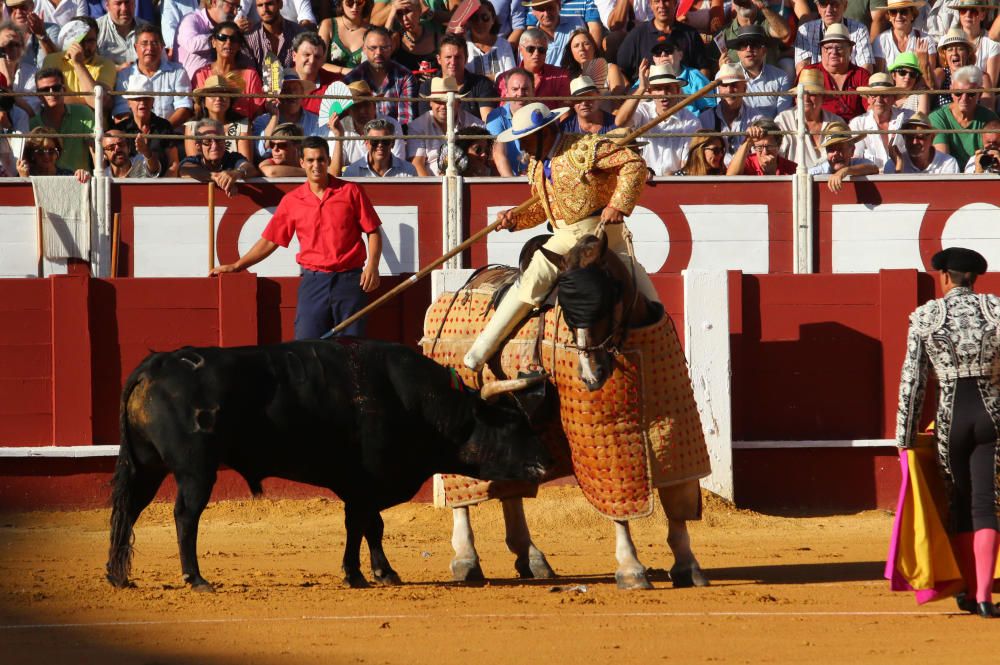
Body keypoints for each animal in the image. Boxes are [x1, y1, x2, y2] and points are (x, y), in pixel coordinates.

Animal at [105, 338, 552, 588]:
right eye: (514, 424)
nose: (545, 464)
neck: (420, 404)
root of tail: (156, 363)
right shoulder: (365, 484)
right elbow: (365, 525)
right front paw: (362, 575)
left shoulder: (359, 488)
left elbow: (368, 526)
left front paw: (376, 573)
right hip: (196, 470)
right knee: (185, 515)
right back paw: (195, 578)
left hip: (147, 466)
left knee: (129, 510)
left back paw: (118, 576)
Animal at [422, 231, 712, 588]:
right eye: (569, 313)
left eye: (608, 296)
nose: (591, 374)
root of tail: (446, 297)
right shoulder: (599, 433)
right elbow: (616, 498)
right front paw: (630, 567)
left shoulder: (673, 417)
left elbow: (677, 495)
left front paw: (688, 565)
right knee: (461, 488)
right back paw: (466, 558)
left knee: (510, 486)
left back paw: (531, 557)